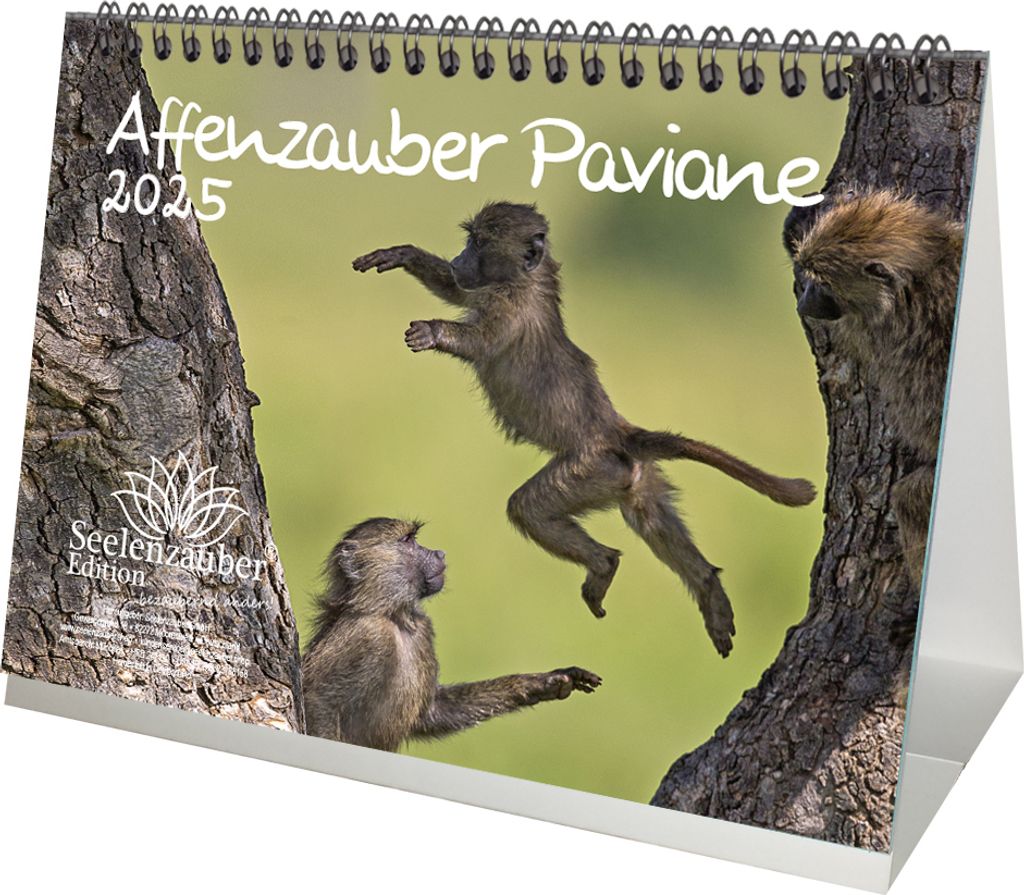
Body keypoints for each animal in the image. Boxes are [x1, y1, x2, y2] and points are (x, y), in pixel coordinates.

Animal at [301, 517, 602, 750]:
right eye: (407, 540)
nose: (440, 554)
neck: (394, 617)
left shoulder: (423, 630)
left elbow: (434, 712)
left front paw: (547, 682)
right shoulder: (368, 637)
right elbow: (317, 700)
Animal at [352, 202, 817, 658]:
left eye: (480, 243)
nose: (459, 260)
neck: (529, 279)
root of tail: (618, 433)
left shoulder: (511, 308)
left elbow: (479, 341)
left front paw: (431, 331)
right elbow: (455, 291)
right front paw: (402, 254)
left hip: (589, 470)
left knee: (530, 508)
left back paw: (603, 566)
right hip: (636, 478)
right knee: (653, 520)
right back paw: (709, 591)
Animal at [786, 189, 963, 588]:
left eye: (823, 284)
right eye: (811, 280)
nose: (803, 304)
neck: (923, 267)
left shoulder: (878, 330)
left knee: (909, 498)